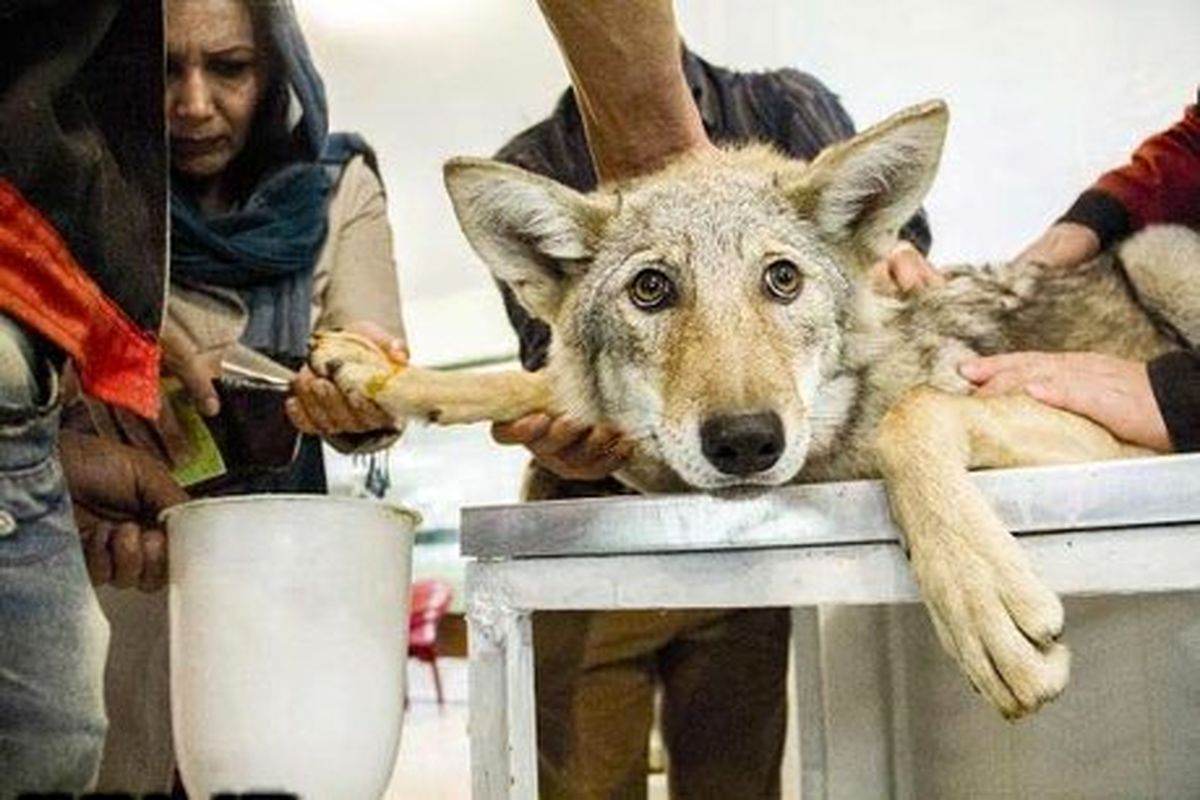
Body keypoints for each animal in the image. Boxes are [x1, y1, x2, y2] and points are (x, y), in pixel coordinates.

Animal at [312, 100, 1200, 719]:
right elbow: (533, 380)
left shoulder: (1103, 440)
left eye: (782, 279)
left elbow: (912, 413)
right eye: (651, 290)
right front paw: (376, 371)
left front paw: (984, 607)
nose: (745, 442)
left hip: (1160, 250)